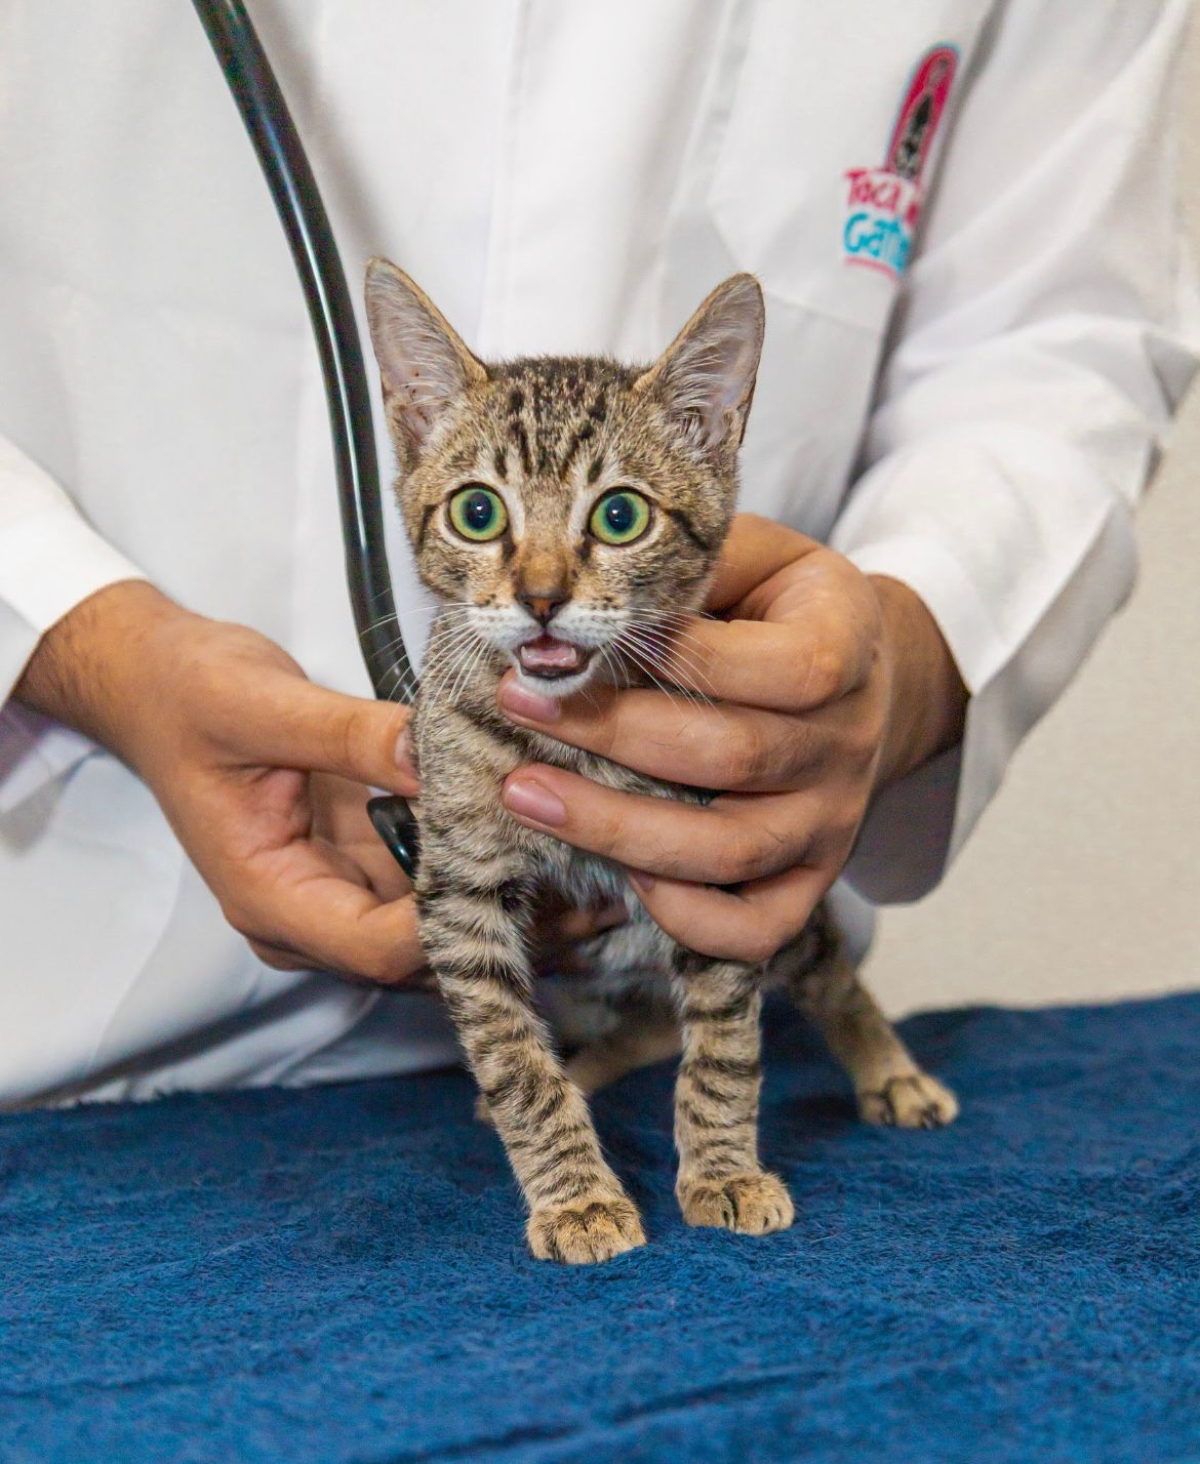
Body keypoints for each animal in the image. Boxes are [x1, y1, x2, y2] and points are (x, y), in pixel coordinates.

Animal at [365, 257, 954, 1264]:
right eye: (478, 513)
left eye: (620, 515)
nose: (542, 597)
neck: (571, 734)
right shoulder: (458, 888)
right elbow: (512, 1057)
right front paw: (574, 1192)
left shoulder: (719, 879)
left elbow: (723, 1046)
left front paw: (721, 1169)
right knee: (637, 1022)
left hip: (780, 923)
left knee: (824, 967)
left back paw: (887, 1067)